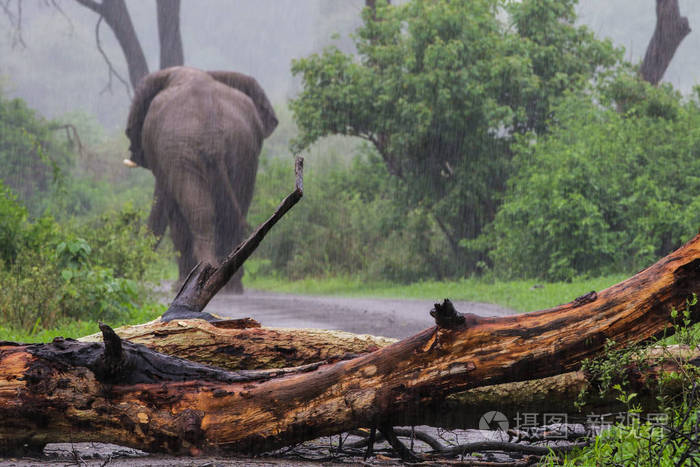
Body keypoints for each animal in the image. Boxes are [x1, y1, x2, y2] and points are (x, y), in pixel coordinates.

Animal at [124, 66, 278, 292]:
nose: (132, 275)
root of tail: (212, 132)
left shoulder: (166, 156)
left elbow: (171, 207)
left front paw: (178, 285)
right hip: (242, 151)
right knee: (232, 212)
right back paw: (228, 284)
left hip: (182, 149)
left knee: (199, 211)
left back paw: (204, 276)